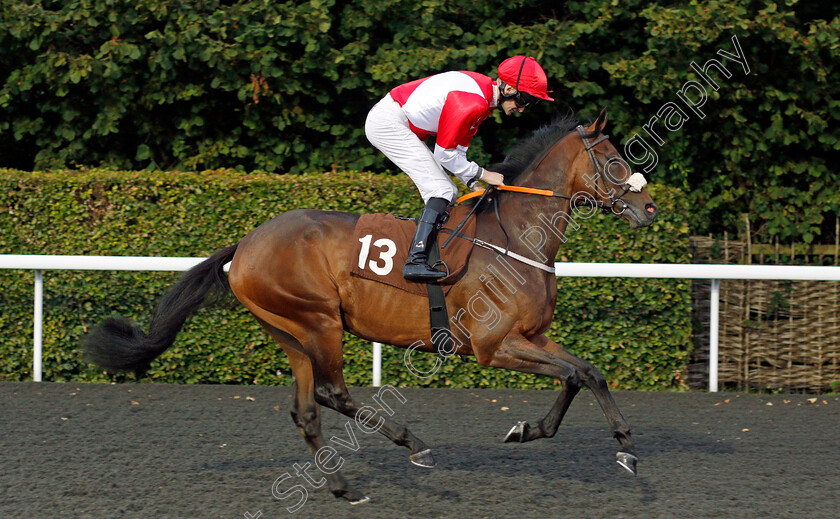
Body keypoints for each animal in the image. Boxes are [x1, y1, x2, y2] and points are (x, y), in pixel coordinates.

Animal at [87, 109, 664, 504]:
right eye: (617, 162)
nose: (650, 208)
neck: (516, 238)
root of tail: (245, 245)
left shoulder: (532, 336)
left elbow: (584, 373)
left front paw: (570, 436)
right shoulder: (493, 346)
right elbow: (579, 374)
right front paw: (601, 442)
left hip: (290, 332)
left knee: (307, 408)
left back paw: (344, 486)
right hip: (319, 322)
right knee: (332, 393)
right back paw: (413, 444)